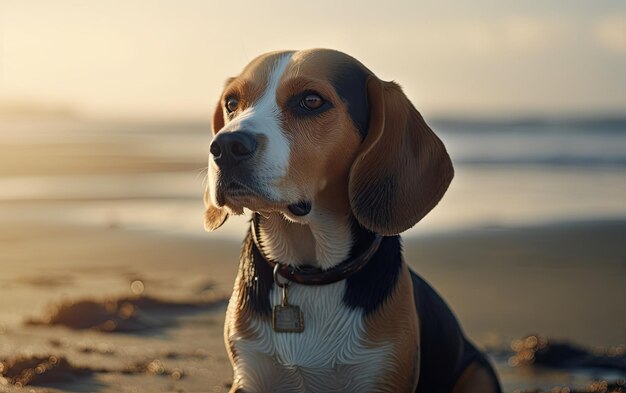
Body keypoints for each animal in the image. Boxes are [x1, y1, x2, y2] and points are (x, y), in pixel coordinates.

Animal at [205, 49, 502, 392]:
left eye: (311, 101)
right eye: (231, 103)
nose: (225, 147)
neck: (311, 271)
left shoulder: (382, 377)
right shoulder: (250, 376)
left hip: (479, 373)